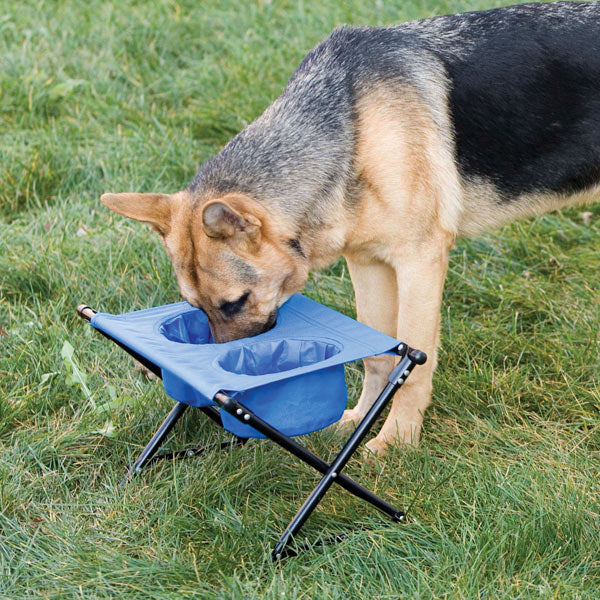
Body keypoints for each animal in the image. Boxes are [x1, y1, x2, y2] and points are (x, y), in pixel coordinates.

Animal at [103, 3, 600, 454]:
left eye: (235, 303)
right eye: (195, 307)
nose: (223, 400)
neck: (353, 132)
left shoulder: (420, 263)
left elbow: (415, 363)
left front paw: (397, 442)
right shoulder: (368, 263)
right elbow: (379, 354)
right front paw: (361, 418)